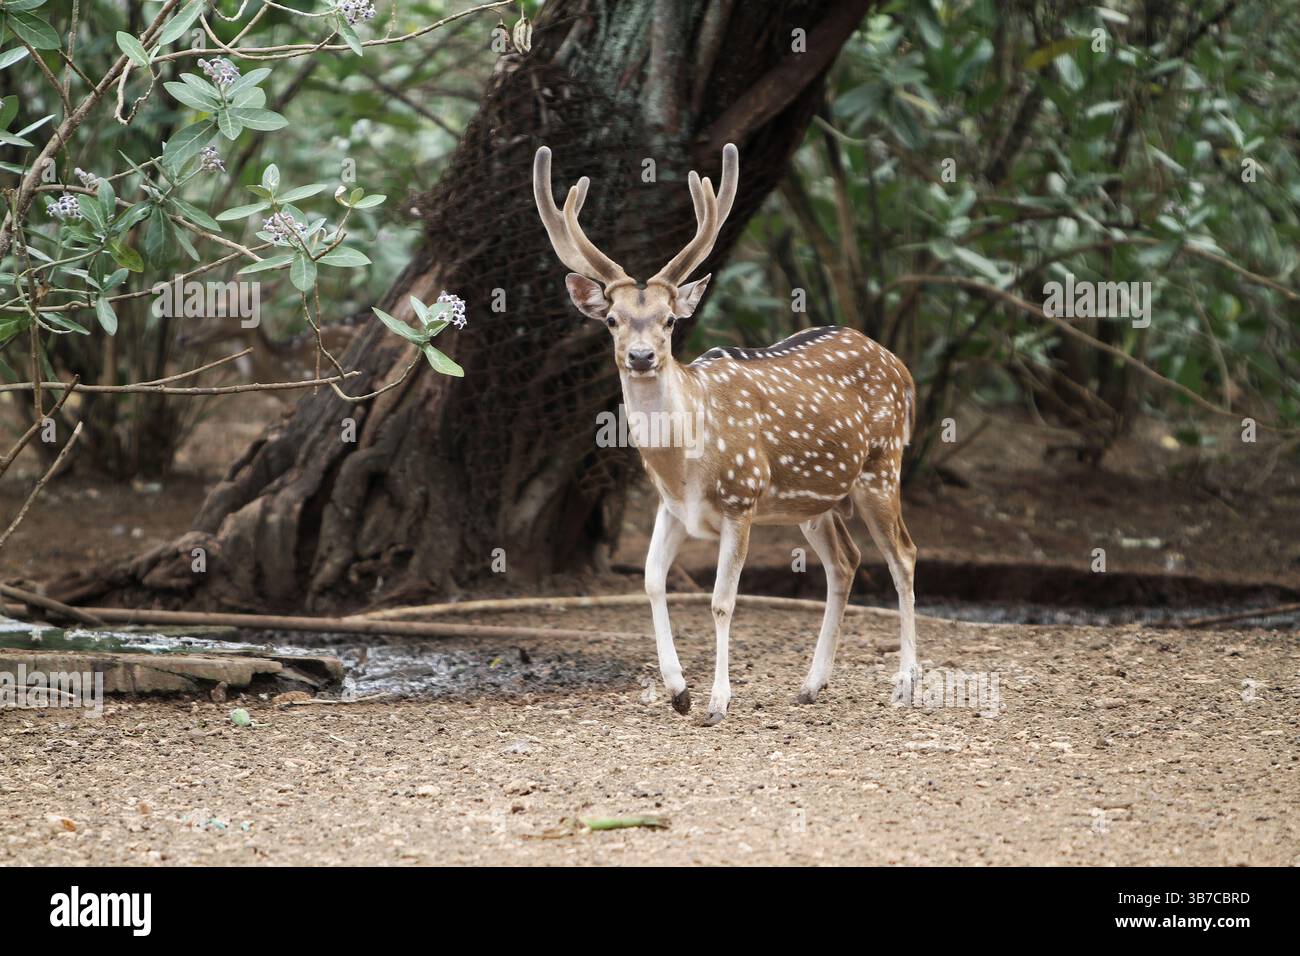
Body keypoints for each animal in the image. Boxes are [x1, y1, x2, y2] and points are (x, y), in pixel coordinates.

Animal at [533, 143, 919, 725]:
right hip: (814, 501)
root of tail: (901, 367)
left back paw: (905, 683)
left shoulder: (742, 499)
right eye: (612, 320)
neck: (687, 459)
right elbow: (651, 581)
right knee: (846, 561)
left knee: (904, 556)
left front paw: (717, 700)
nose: (641, 357)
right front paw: (678, 691)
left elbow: (721, 600)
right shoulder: (671, 507)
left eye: (670, 320)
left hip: (882, 466)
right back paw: (812, 684)